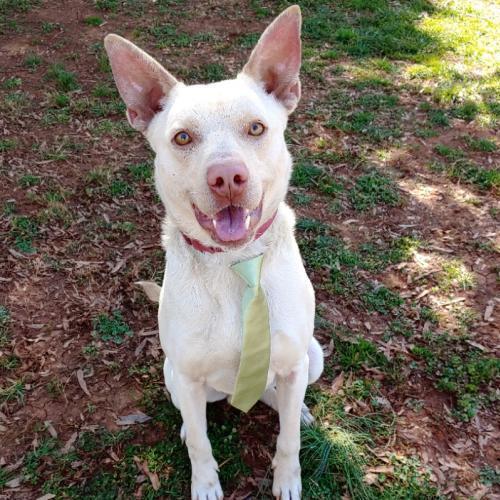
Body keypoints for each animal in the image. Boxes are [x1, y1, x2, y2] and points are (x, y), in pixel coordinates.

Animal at [105, 5, 324, 498]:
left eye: (256, 128)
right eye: (183, 138)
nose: (227, 178)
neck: (233, 264)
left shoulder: (292, 361)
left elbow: (288, 440)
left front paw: (287, 478)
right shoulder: (185, 374)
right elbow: (202, 445)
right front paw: (204, 482)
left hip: (313, 356)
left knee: (286, 403)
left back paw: (298, 410)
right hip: (172, 374)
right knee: (197, 419)